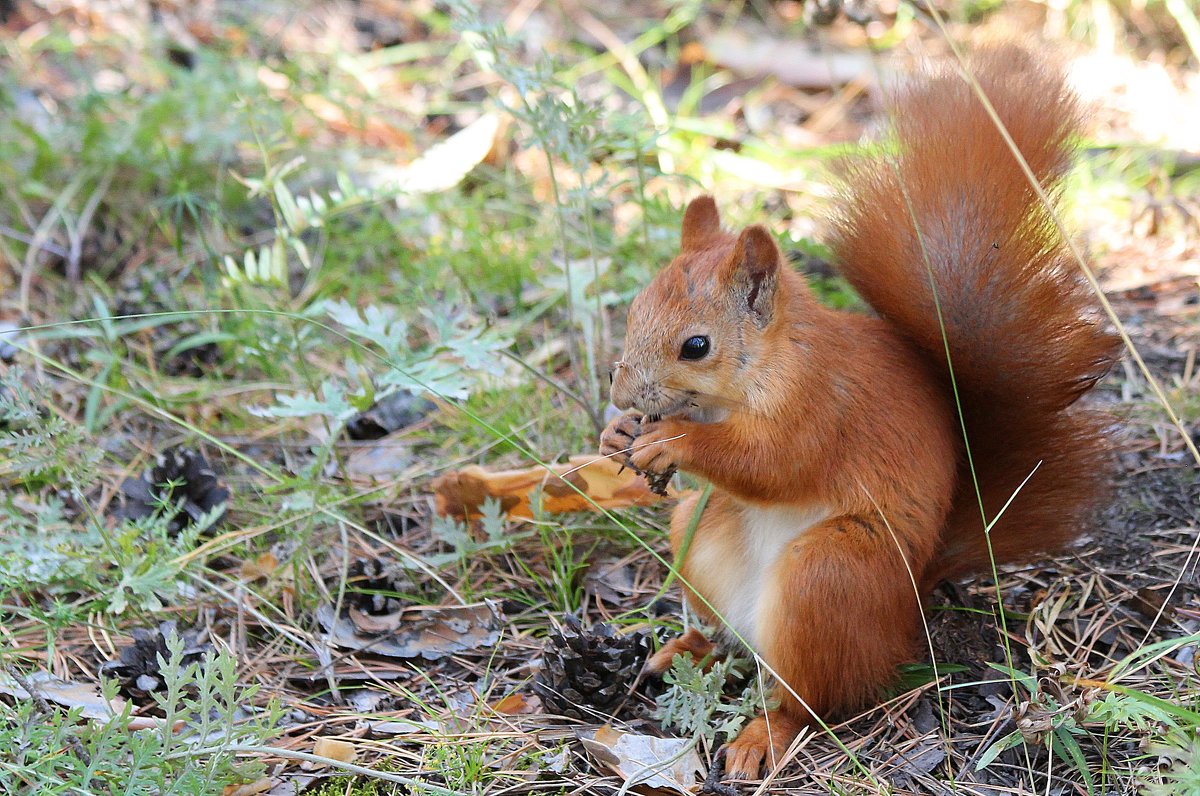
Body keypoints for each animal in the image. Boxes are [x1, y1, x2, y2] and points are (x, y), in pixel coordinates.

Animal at [597, 49, 1113, 777]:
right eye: (637, 309)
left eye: (695, 346)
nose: (623, 398)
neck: (764, 368)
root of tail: (908, 609)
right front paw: (618, 433)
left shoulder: (823, 403)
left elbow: (775, 464)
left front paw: (670, 441)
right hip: (699, 533)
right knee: (727, 636)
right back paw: (684, 650)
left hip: (832, 574)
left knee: (806, 700)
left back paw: (762, 736)